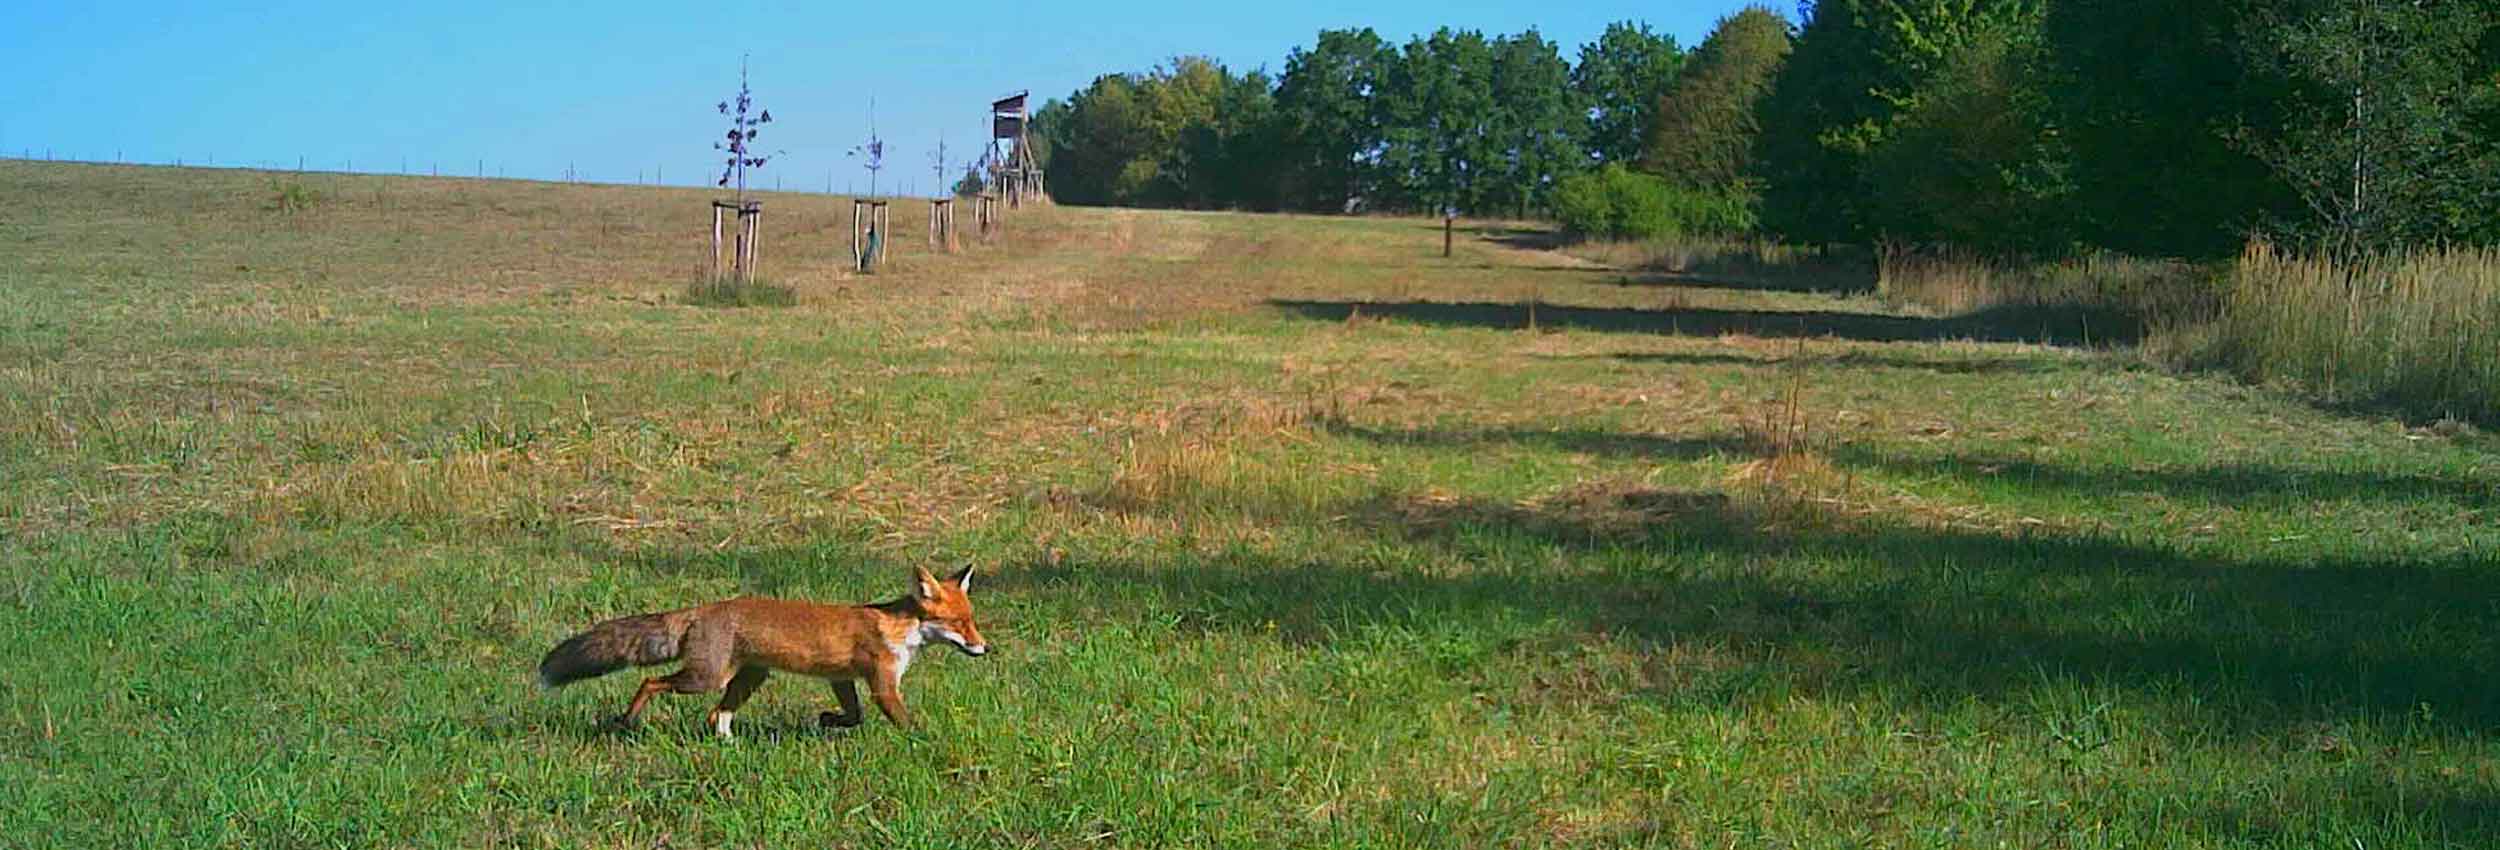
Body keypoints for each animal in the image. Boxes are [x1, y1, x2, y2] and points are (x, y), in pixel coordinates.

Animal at [537, 565, 985, 735]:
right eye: (959, 624)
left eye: (972, 619)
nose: (985, 647)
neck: (900, 629)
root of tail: (706, 608)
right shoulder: (882, 685)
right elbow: (905, 722)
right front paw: (924, 742)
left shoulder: (841, 679)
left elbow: (853, 716)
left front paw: (828, 719)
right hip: (706, 678)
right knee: (650, 681)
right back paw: (628, 720)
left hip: (748, 679)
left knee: (716, 714)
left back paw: (728, 746)